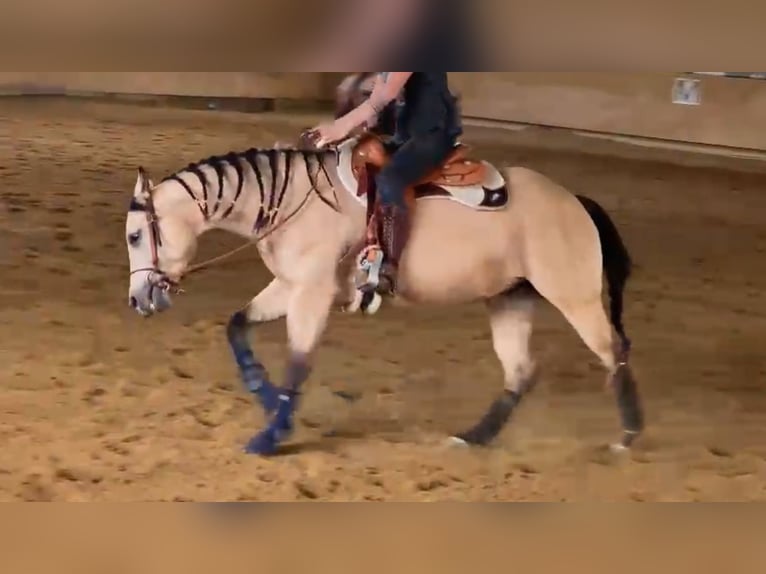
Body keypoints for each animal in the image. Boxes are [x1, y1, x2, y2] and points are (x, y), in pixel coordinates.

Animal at [126, 132, 648, 460]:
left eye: (134, 236)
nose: (138, 300)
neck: (293, 201)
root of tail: (575, 201)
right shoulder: (288, 286)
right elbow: (237, 326)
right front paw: (267, 396)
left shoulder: (312, 294)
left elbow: (298, 362)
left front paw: (271, 434)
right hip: (509, 298)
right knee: (521, 371)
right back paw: (473, 437)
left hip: (574, 295)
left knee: (613, 349)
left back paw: (628, 435)